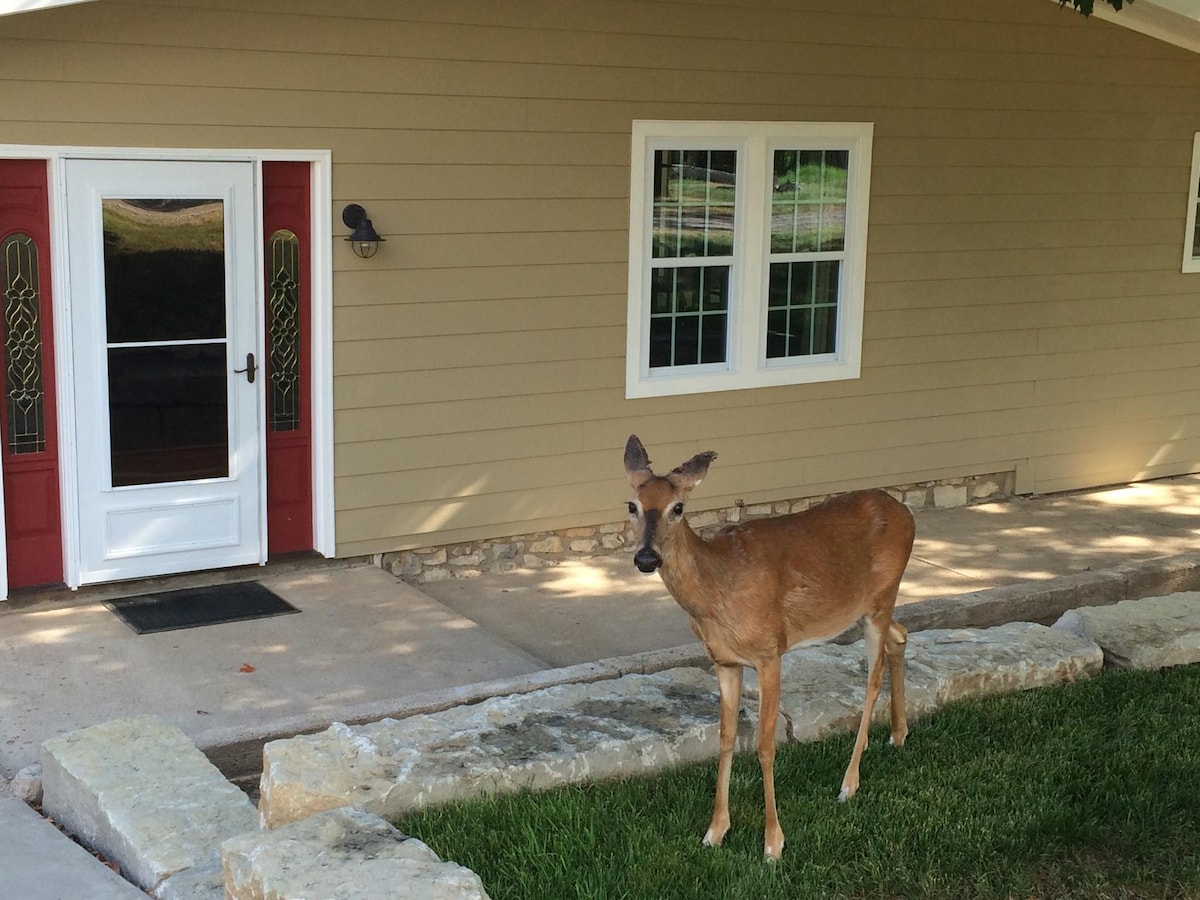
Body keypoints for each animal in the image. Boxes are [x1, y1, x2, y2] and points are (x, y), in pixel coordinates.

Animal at [624, 436, 912, 859]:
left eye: (678, 507)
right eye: (632, 505)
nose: (646, 557)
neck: (718, 587)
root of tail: (906, 512)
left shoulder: (769, 652)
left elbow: (764, 746)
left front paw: (773, 843)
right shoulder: (725, 662)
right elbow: (726, 739)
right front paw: (715, 831)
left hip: (881, 599)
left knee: (872, 681)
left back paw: (848, 783)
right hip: (866, 609)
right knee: (902, 635)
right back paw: (898, 733)